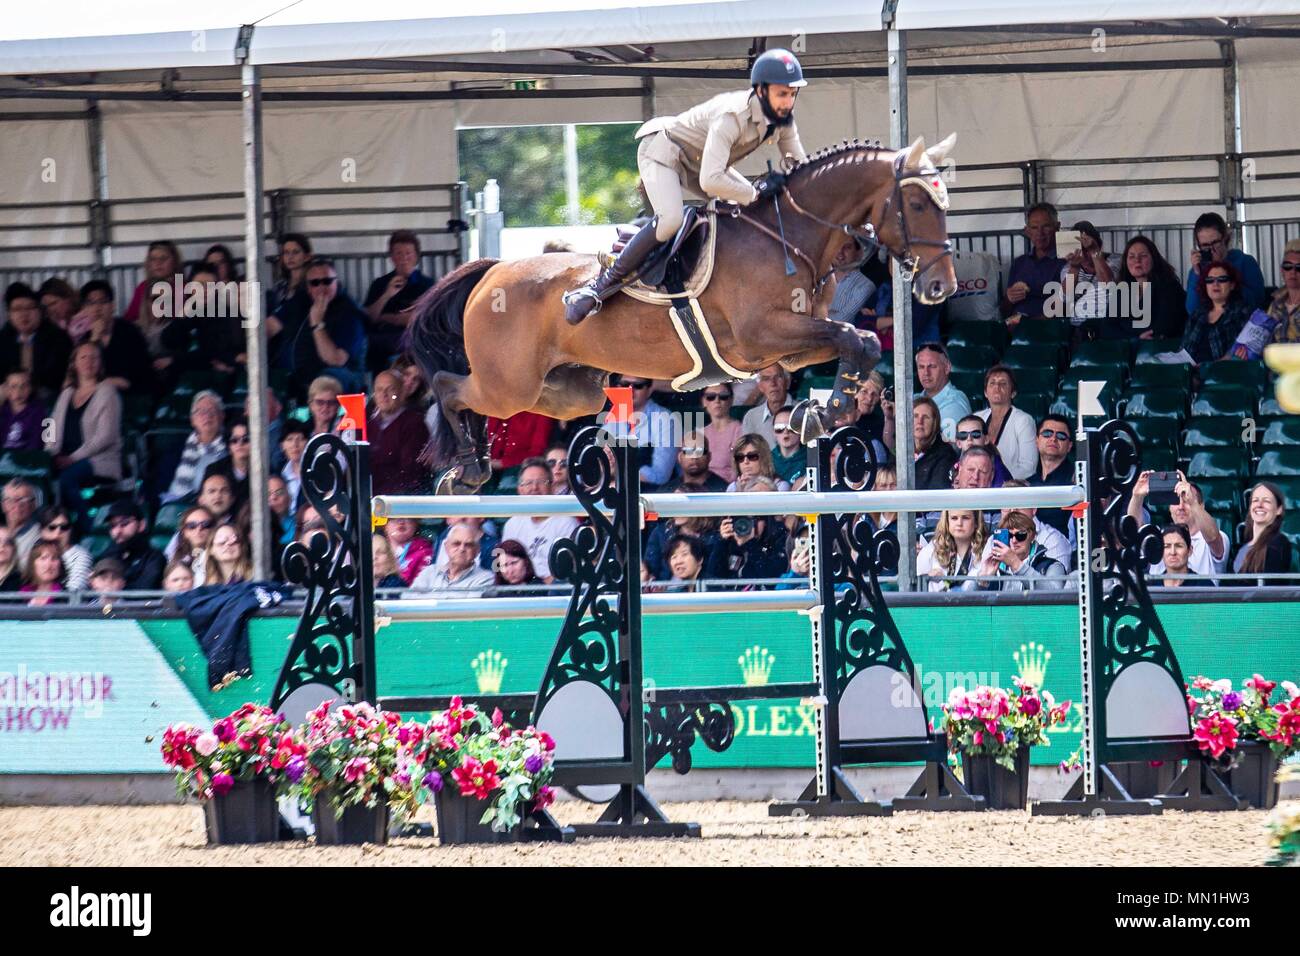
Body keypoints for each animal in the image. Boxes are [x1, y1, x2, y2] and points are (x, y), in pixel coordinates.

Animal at [410, 134, 961, 494]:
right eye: (917, 204)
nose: (941, 286)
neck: (790, 236)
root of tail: (492, 271)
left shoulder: (790, 350)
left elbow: (856, 341)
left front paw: (819, 413)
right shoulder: (764, 335)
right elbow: (854, 337)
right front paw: (825, 412)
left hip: (567, 392)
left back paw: (471, 466)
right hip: (510, 385)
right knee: (448, 387)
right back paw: (466, 468)